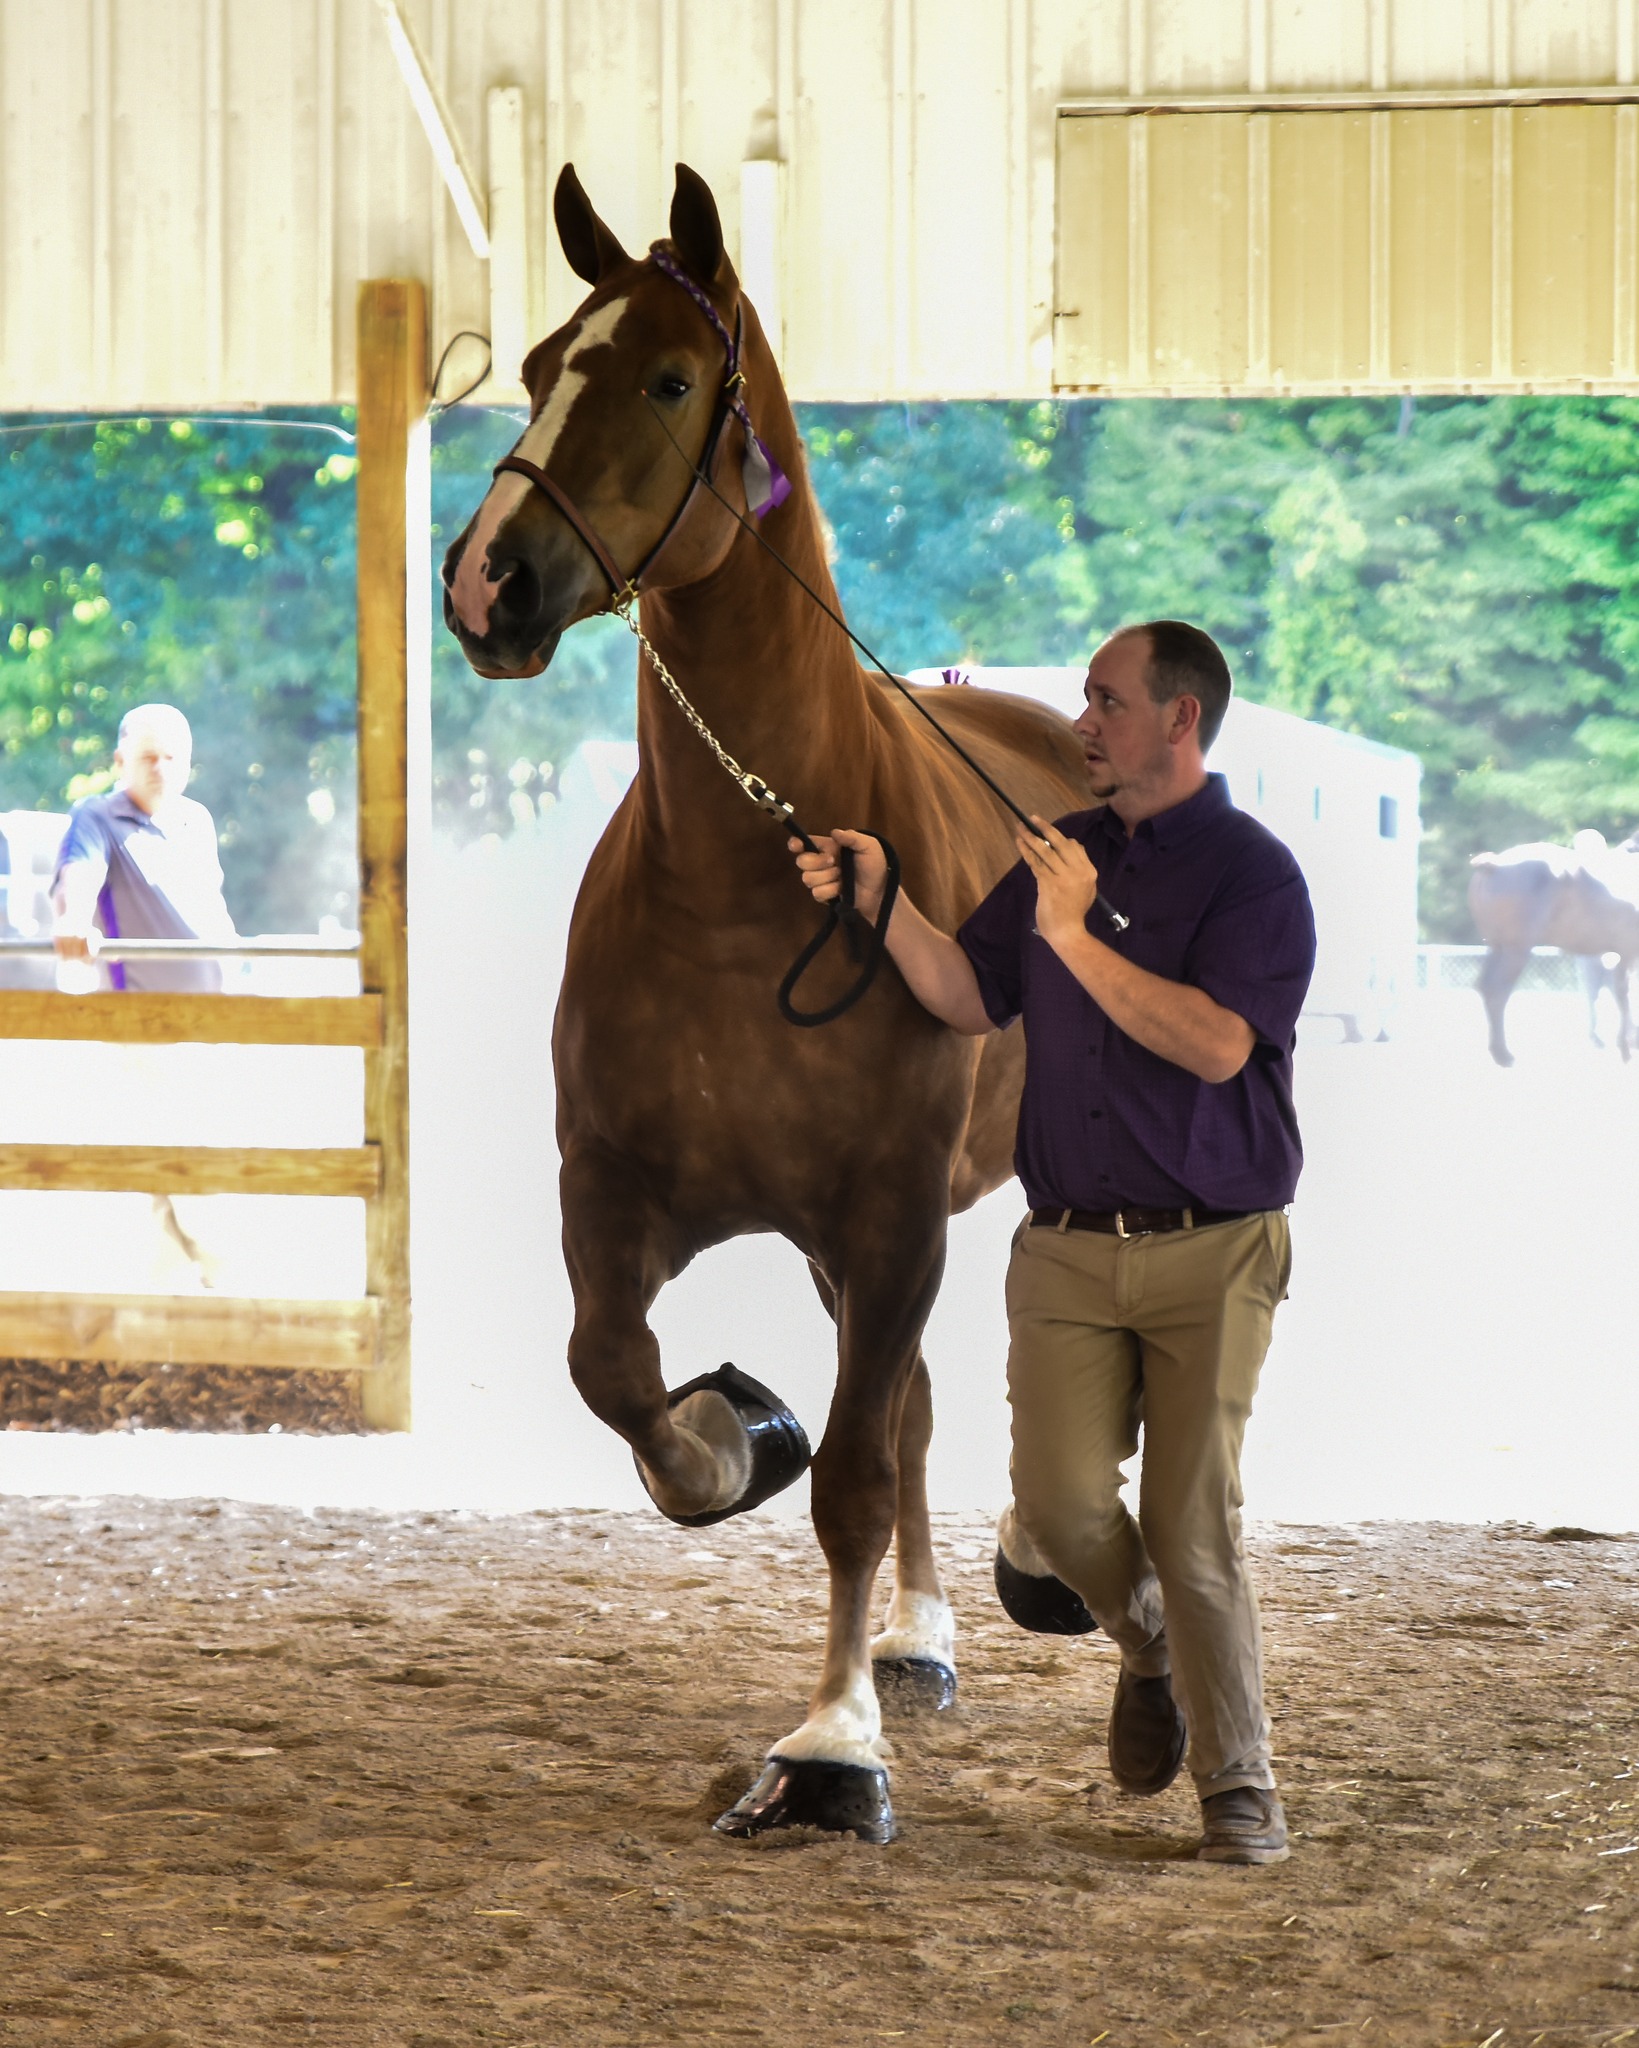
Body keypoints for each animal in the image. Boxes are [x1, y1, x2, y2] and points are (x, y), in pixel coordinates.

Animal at [442, 163, 1098, 1843]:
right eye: (533, 368)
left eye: (671, 378)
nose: (487, 579)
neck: (751, 883)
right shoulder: (615, 1191)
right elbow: (621, 1379)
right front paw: (735, 1429)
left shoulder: (888, 1213)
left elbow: (855, 1479)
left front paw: (829, 1749)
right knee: (911, 1400)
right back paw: (914, 1638)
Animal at [1475, 839, 1639, 1073]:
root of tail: (1493, 864)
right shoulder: (1628, 952)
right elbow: (1626, 994)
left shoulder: (1623, 954)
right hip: (1516, 949)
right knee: (1496, 991)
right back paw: (1503, 1055)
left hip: (1498, 947)